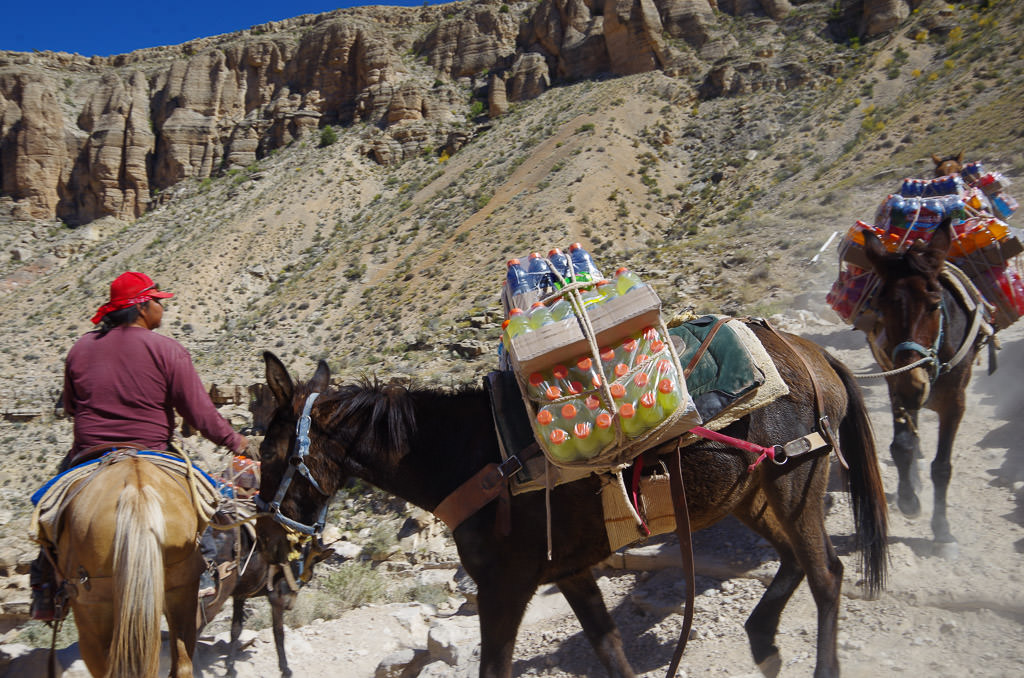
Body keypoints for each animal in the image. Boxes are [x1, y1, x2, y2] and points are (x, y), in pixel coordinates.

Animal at [255, 328, 888, 678]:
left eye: (267, 453)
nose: (265, 542)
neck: (471, 461)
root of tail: (810, 353)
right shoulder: (571, 573)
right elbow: (610, 653)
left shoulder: (505, 585)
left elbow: (495, 667)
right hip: (751, 494)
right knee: (795, 561)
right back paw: (762, 642)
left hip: (794, 483)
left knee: (826, 574)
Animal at [861, 217, 991, 554]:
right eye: (881, 307)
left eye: (934, 305)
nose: (913, 385)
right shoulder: (894, 381)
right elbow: (902, 446)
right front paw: (909, 500)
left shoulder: (955, 403)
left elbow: (942, 467)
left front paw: (943, 531)